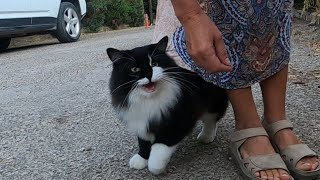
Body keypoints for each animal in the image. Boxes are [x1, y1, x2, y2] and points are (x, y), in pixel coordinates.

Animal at [106, 35, 229, 175]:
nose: (149, 75)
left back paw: (206, 137)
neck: (150, 99)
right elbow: (143, 142)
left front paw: (155, 167)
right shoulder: (141, 121)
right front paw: (141, 159)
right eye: (134, 69)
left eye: (154, 64)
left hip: (214, 102)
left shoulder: (177, 123)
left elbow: (158, 151)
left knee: (211, 119)